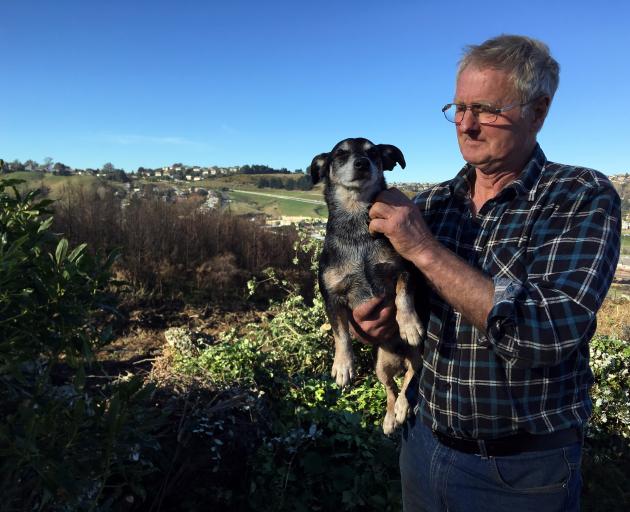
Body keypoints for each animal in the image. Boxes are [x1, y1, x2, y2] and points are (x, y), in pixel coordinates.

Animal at [310, 138, 424, 434]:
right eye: (340, 154)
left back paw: (402, 409)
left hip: (418, 356)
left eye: (373, 152)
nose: (362, 163)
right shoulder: (332, 296)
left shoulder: (404, 270)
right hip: (380, 366)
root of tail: (399, 358)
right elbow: (341, 334)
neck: (357, 228)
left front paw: (409, 325)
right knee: (391, 389)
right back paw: (390, 417)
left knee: (410, 378)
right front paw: (343, 365)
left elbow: (403, 297)